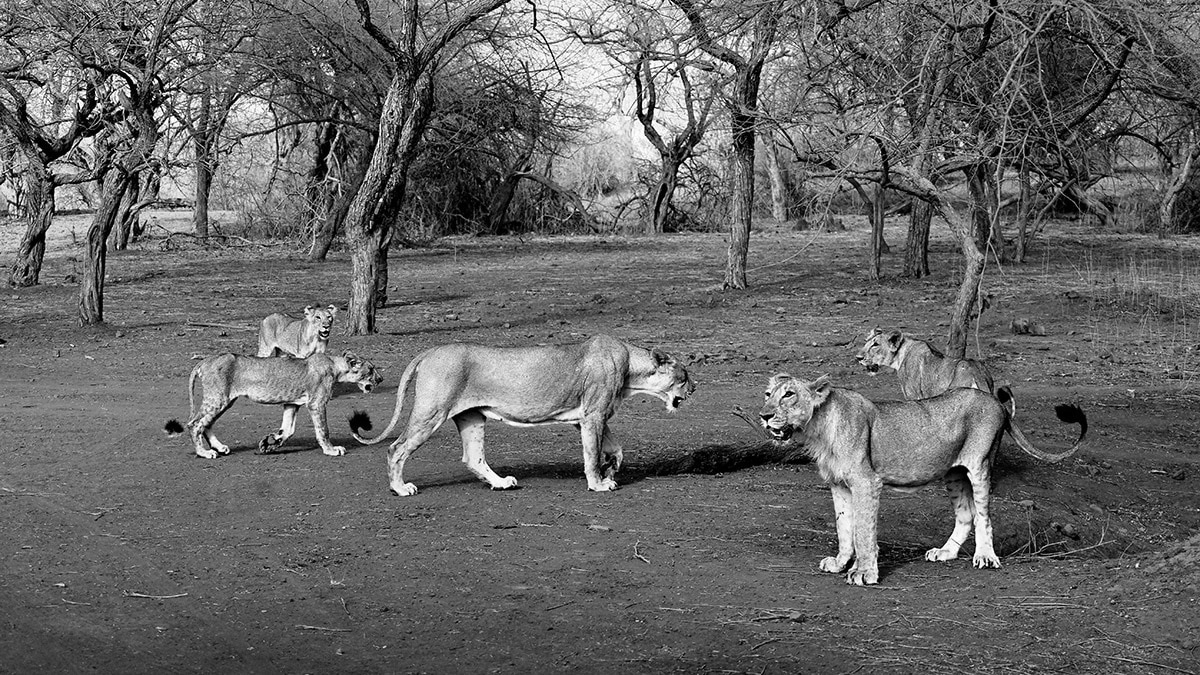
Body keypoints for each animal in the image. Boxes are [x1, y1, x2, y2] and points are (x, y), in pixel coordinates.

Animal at [164, 350, 382, 459]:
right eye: (371, 369)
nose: (381, 379)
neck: (335, 368)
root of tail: (205, 360)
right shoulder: (316, 403)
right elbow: (323, 430)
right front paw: (331, 450)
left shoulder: (292, 404)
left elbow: (288, 430)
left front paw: (270, 444)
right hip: (218, 398)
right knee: (195, 424)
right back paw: (204, 452)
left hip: (225, 400)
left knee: (206, 423)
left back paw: (219, 447)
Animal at [349, 334, 696, 496]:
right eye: (684, 375)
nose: (695, 387)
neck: (631, 369)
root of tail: (430, 350)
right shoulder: (593, 415)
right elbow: (591, 455)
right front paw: (598, 483)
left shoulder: (585, 418)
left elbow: (616, 449)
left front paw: (611, 470)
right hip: (431, 412)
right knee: (396, 448)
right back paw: (400, 488)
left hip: (472, 417)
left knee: (473, 457)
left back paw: (501, 483)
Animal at [759, 373, 1086, 586]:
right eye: (768, 394)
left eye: (789, 394)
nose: (764, 415)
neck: (818, 427)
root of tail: (995, 401)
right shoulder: (838, 484)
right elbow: (844, 528)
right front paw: (840, 563)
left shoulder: (866, 482)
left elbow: (863, 532)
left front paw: (865, 573)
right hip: (954, 473)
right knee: (965, 515)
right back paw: (946, 553)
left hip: (980, 464)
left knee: (983, 516)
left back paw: (985, 557)